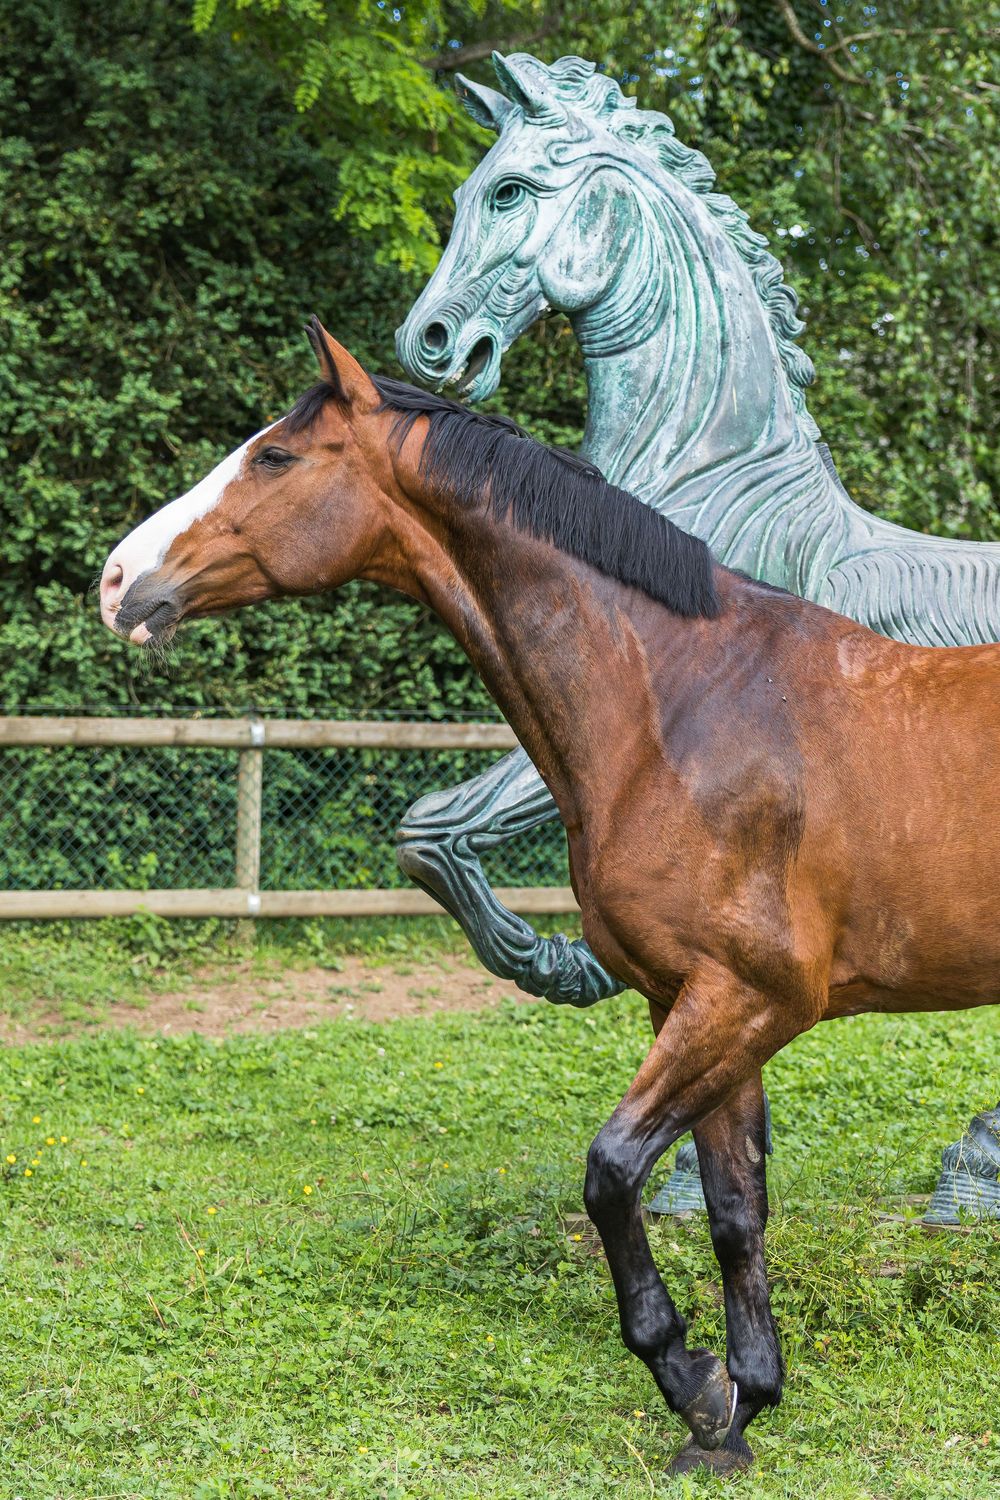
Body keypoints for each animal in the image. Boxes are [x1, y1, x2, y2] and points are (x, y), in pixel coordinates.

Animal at [99, 320, 1000, 1475]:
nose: (119, 580)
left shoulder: (747, 1001)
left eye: (275, 458)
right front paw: (736, 1413)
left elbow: (612, 1172)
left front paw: (687, 1376)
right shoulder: (693, 1005)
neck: (681, 707)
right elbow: (733, 1209)